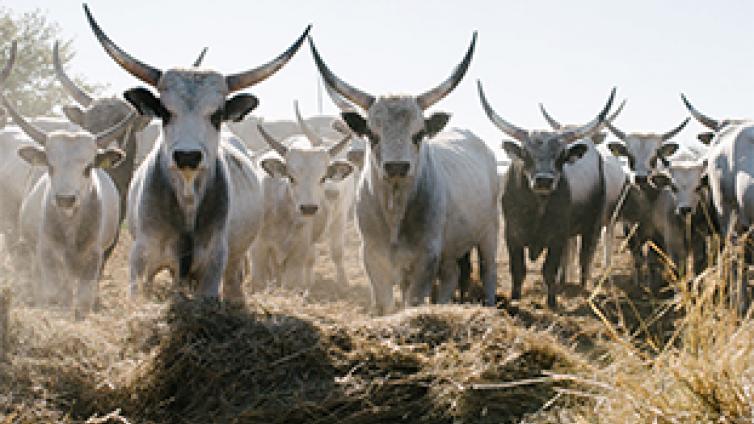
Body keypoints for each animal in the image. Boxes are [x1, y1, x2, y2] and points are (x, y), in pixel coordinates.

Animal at [85, 4, 312, 300]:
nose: (187, 156)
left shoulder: (214, 263)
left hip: (235, 263)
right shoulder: (141, 259)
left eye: (216, 115)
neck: (187, 196)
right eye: (165, 112)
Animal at [308, 33, 502, 314]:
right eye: (372, 134)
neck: (395, 210)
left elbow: (414, 300)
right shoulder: (373, 254)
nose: (397, 166)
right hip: (450, 248)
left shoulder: (427, 256)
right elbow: (385, 301)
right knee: (452, 275)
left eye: (419, 134)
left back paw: (488, 304)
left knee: (489, 270)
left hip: (489, 230)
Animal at [478, 82, 612, 308]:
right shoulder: (512, 235)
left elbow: (549, 270)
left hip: (592, 225)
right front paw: (515, 298)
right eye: (525, 154)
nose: (544, 180)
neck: (537, 207)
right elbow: (518, 270)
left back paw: (582, 290)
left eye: (562, 156)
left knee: (585, 258)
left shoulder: (557, 237)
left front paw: (552, 302)